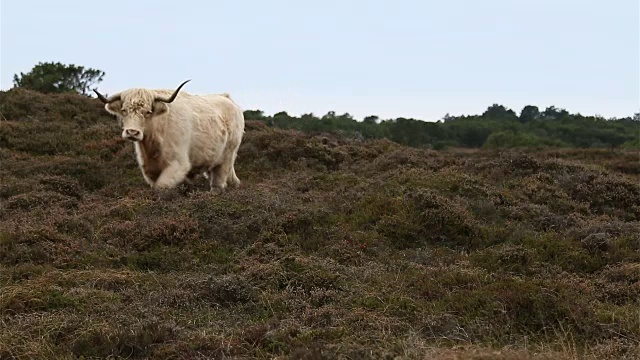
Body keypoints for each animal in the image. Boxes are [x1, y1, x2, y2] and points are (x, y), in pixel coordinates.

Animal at [94, 80, 244, 193]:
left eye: (148, 112)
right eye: (124, 110)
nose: (132, 132)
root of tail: (226, 97)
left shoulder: (178, 164)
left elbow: (161, 187)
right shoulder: (150, 170)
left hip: (227, 155)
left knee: (218, 181)